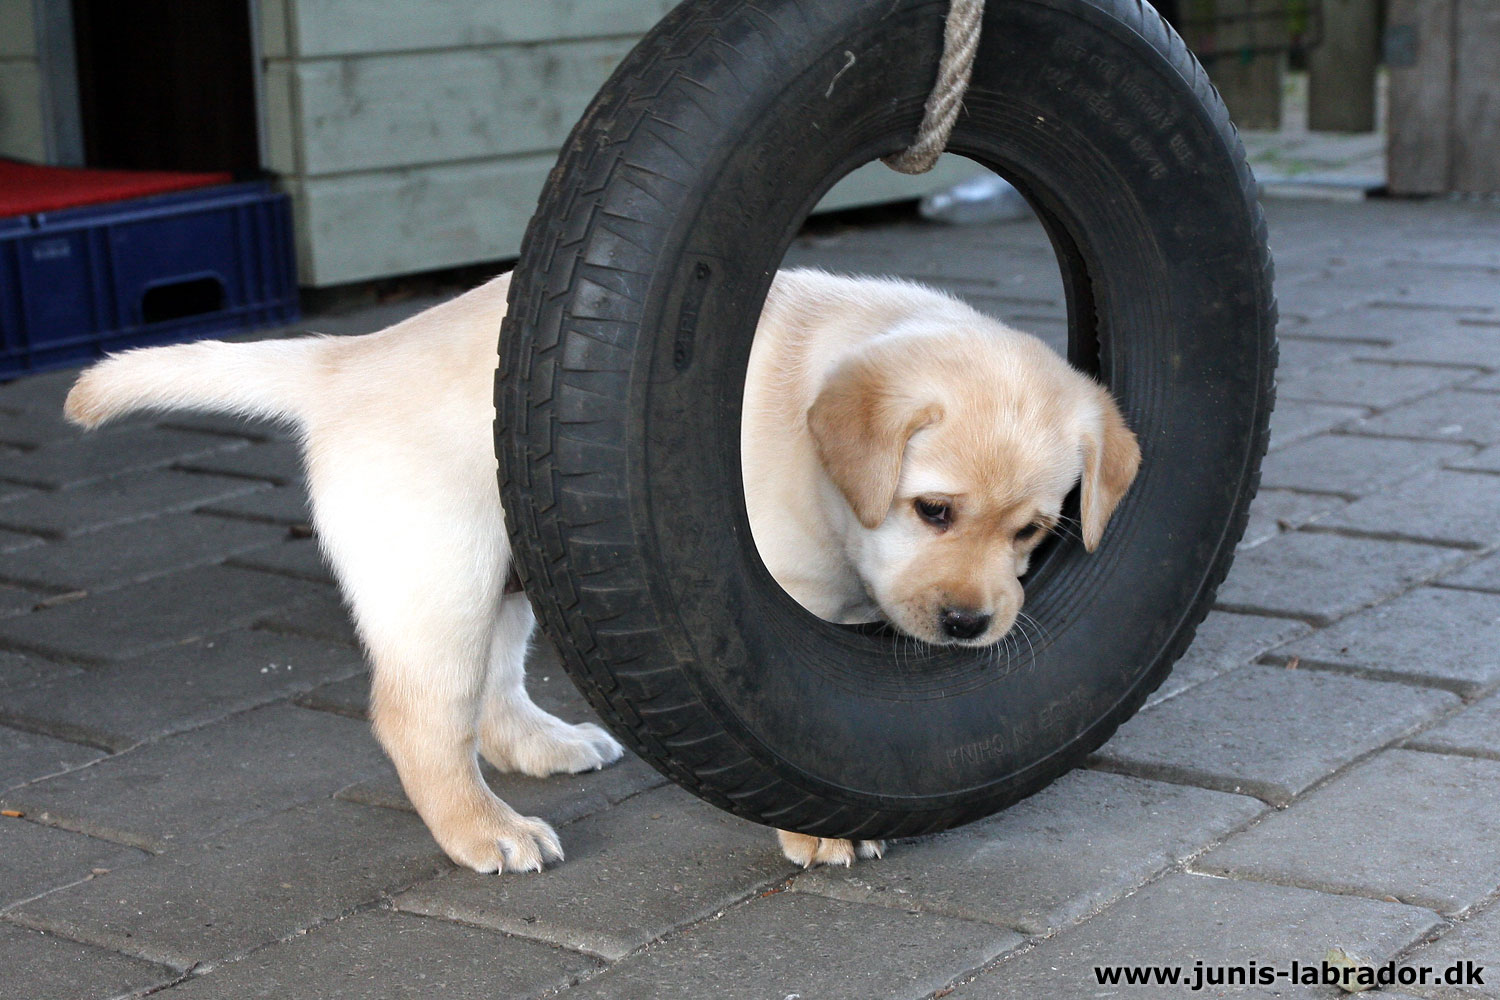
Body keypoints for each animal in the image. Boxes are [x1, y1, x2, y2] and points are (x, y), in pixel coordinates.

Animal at [61, 269, 1134, 869]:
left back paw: (541, 747)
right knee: (419, 717)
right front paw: (817, 829)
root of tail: (349, 360)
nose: (970, 624)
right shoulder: (784, 595)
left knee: (492, 691)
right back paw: (482, 831)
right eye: (934, 510)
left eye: (1034, 532)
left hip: (505, 571)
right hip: (439, 569)